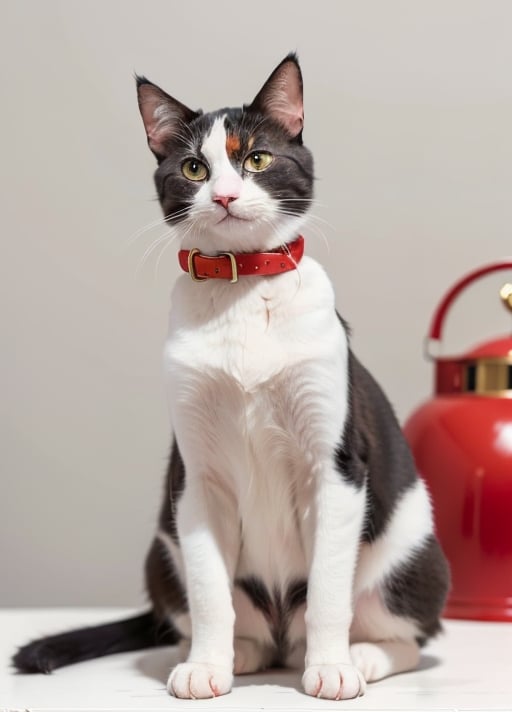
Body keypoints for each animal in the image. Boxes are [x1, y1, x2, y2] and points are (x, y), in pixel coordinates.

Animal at [12, 54, 450, 700]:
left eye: (257, 159)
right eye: (194, 167)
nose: (222, 194)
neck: (242, 289)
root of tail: (282, 637)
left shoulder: (335, 466)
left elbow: (329, 588)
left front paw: (332, 666)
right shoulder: (196, 477)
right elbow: (208, 588)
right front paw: (206, 666)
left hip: (415, 557)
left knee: (409, 634)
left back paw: (362, 654)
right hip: (160, 554)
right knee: (222, 616)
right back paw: (236, 652)